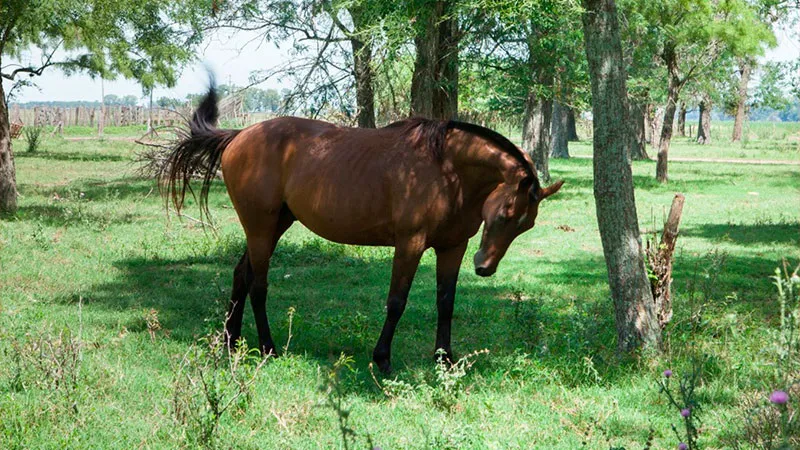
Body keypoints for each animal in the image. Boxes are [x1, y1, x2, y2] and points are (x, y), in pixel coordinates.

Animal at [161, 85, 563, 373]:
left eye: (526, 224)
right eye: (506, 212)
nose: (485, 267)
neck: (447, 170)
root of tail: (239, 136)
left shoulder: (453, 247)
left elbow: (446, 302)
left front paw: (444, 358)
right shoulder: (410, 244)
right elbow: (396, 302)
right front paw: (382, 358)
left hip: (273, 226)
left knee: (241, 275)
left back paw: (231, 341)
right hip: (261, 227)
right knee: (258, 285)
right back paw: (268, 348)